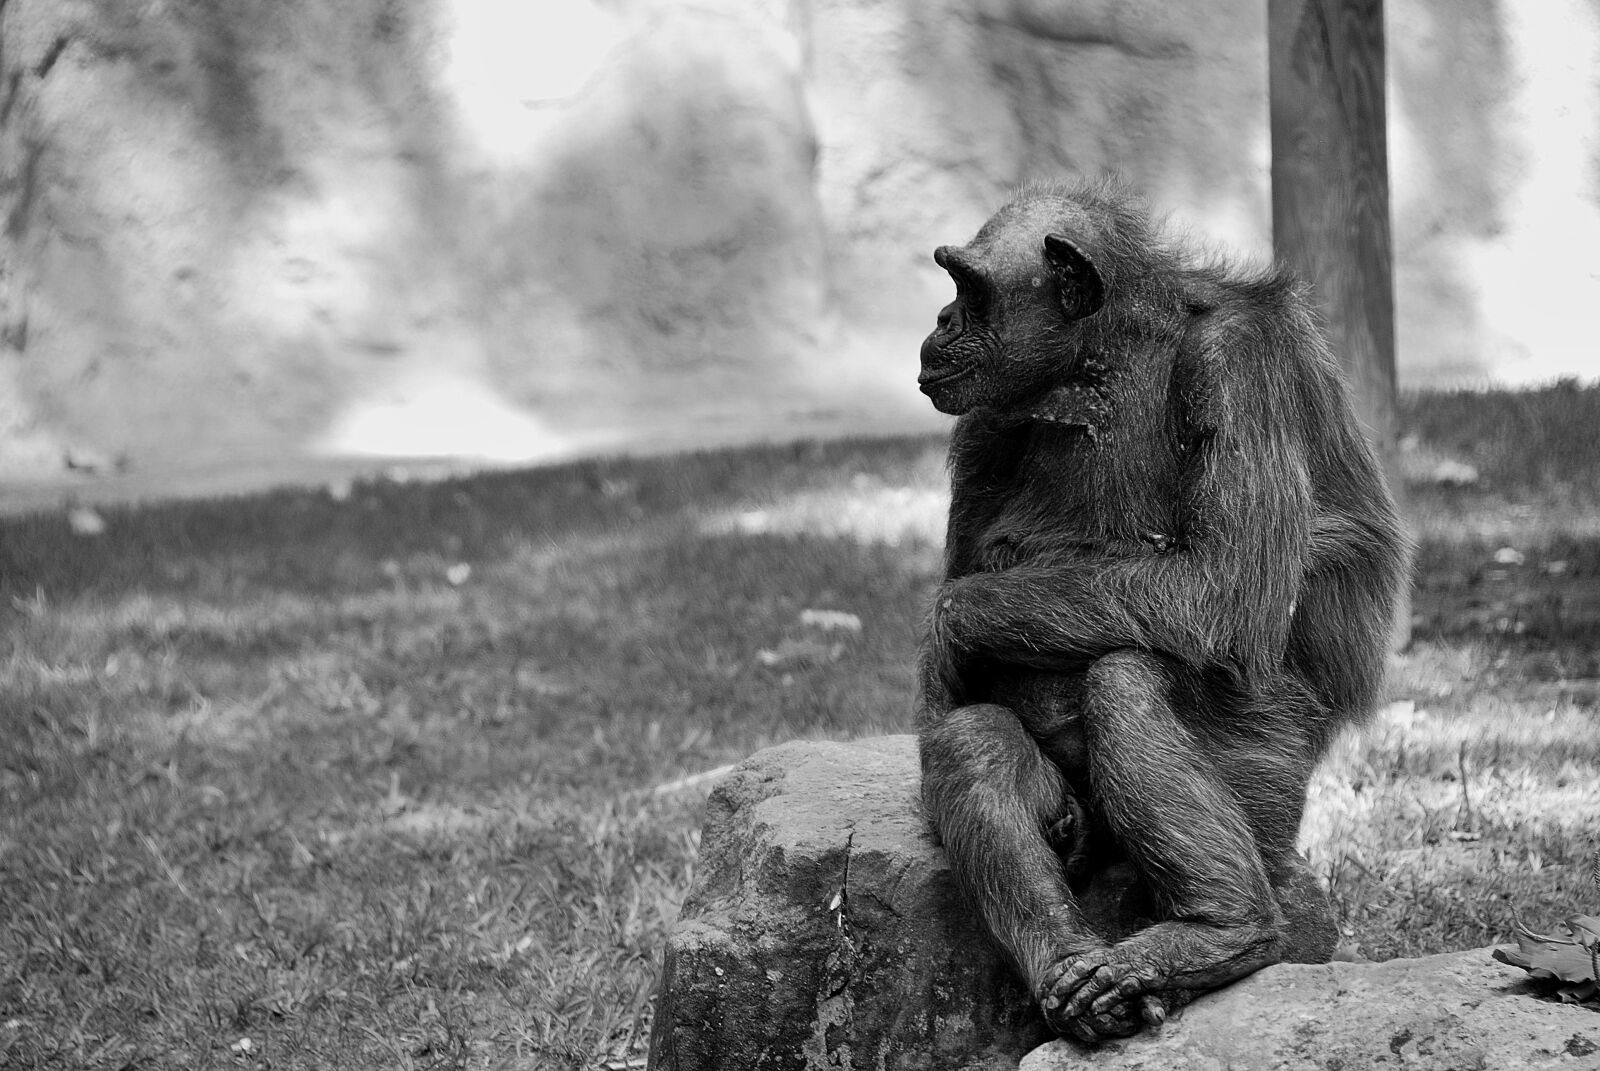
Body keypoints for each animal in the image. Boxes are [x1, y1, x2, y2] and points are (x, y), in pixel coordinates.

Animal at [914, 179, 1409, 1044]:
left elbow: (1220, 583)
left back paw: (1216, 930)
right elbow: (956, 695)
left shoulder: (1239, 364)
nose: (941, 319)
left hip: (1276, 782)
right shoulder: (982, 426)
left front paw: (950, 621)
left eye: (967, 288)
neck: (1102, 363)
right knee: (972, 737)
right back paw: (1073, 966)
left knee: (1130, 680)